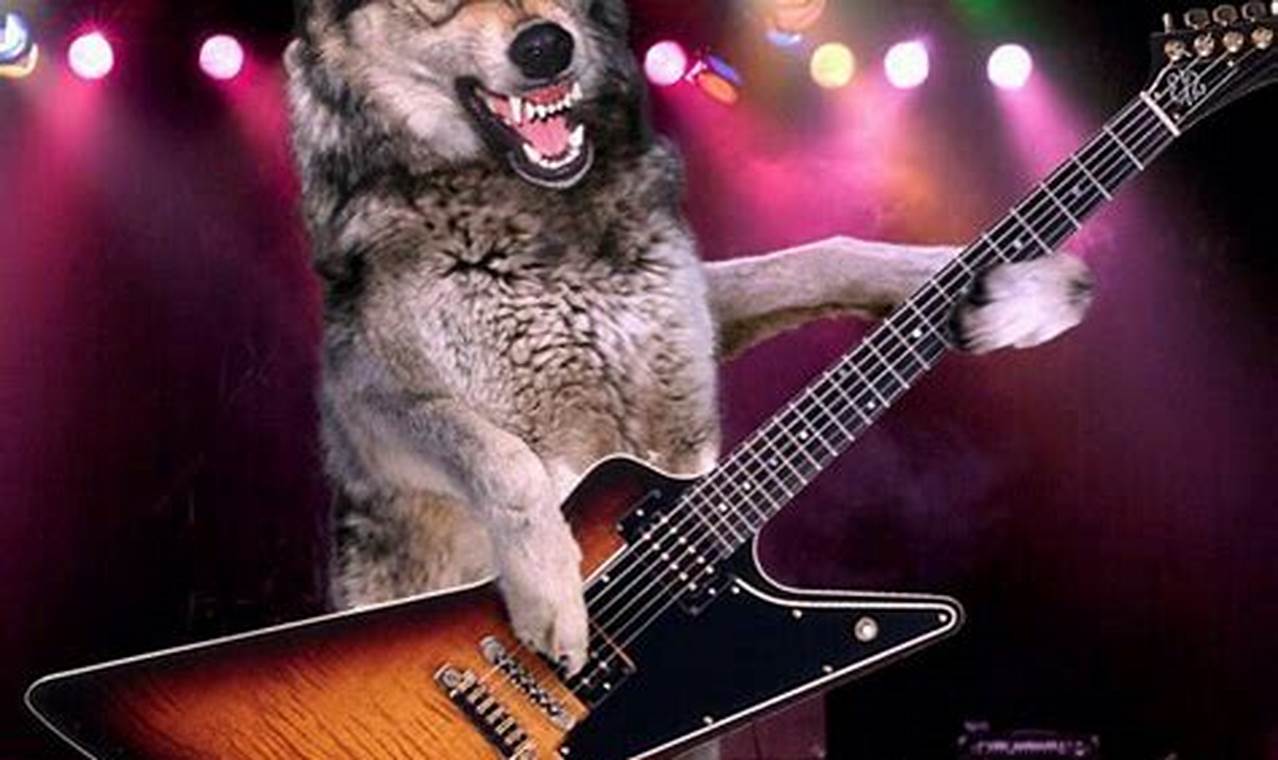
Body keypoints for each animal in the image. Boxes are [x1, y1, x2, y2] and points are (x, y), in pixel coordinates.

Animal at [285, 0, 1093, 683]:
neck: (551, 217)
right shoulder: (364, 408)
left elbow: (825, 254)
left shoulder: (688, 310)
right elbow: (504, 459)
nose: (547, 46)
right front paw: (554, 600)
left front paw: (1024, 287)